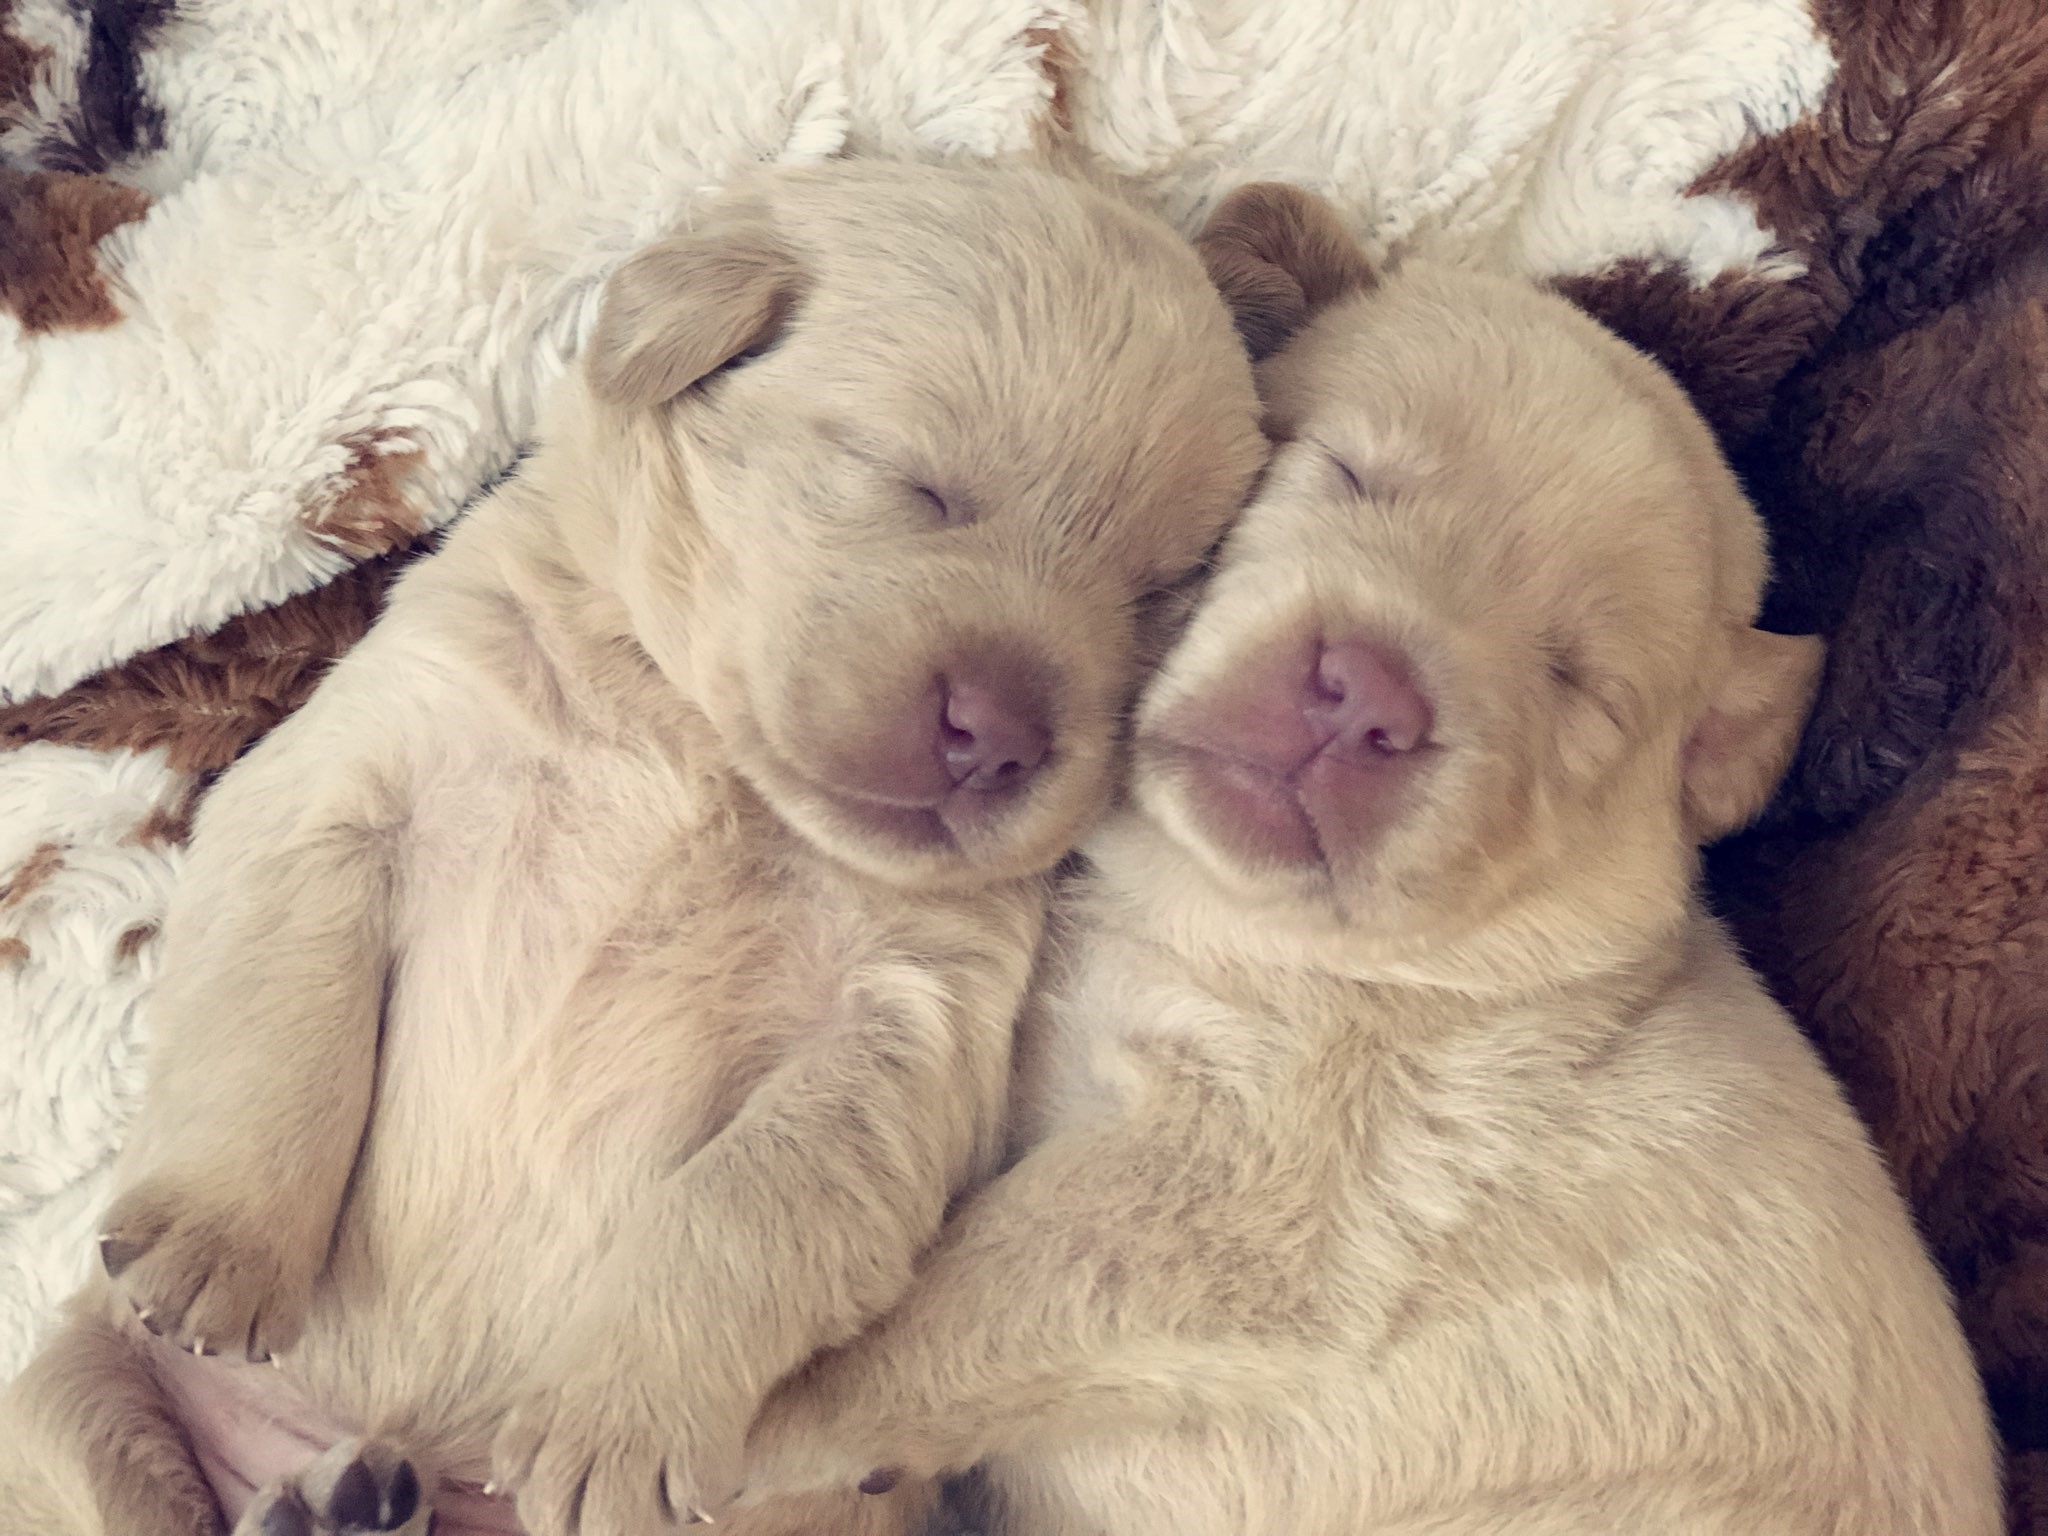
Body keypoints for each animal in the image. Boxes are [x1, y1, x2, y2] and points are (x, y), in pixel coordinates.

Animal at [0, 156, 1269, 1536]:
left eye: (1155, 595)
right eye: (910, 480)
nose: (999, 738)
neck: (698, 745)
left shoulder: (905, 1034)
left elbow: (739, 1207)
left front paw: (613, 1420)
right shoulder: (330, 792)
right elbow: (279, 1029)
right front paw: (218, 1240)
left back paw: (353, 1502)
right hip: (71, 1392)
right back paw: (319, 1500)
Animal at [733, 183, 1998, 1536]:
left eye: (1579, 687)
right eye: (1345, 472)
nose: (1366, 701)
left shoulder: (1240, 1193)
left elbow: (967, 1295)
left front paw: (759, 1428)